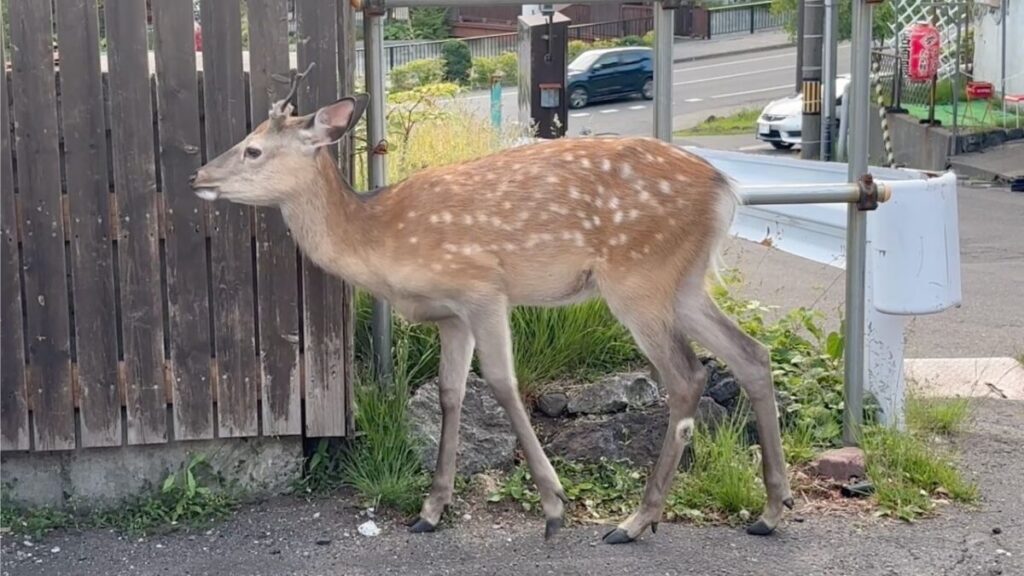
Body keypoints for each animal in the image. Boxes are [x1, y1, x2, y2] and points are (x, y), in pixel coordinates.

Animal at [188, 69, 794, 544]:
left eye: (253, 149)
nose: (198, 176)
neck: (378, 240)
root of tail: (725, 188)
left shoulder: (482, 288)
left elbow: (502, 383)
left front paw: (553, 505)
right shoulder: (451, 316)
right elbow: (450, 394)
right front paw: (431, 509)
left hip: (638, 277)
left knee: (688, 375)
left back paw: (636, 520)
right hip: (683, 282)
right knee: (751, 354)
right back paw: (770, 509)